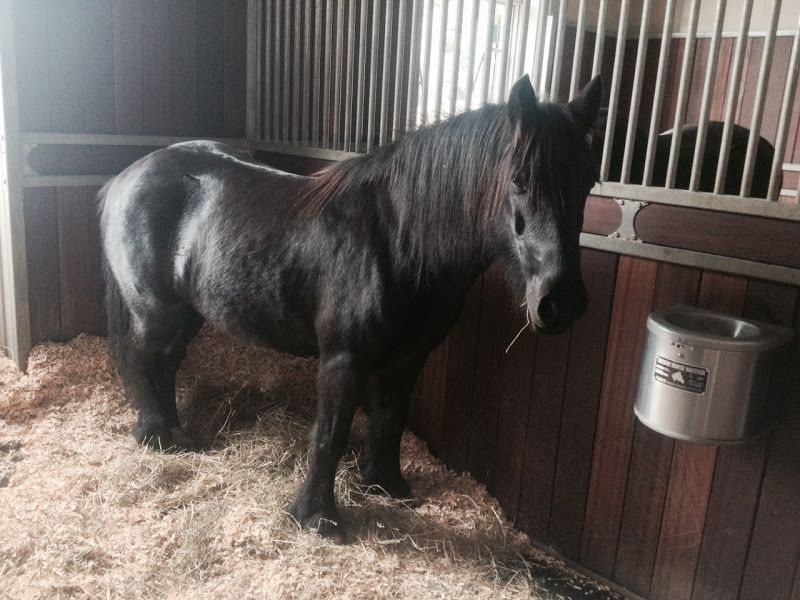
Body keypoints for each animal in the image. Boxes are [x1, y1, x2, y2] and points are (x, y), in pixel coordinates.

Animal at [99, 74, 602, 539]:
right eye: (519, 179)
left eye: (587, 181)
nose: (561, 303)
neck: (398, 241)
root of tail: (125, 178)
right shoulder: (345, 358)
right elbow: (331, 434)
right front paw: (317, 517)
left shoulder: (408, 357)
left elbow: (390, 420)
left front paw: (386, 487)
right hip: (154, 311)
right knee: (144, 362)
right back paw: (157, 438)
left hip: (185, 314)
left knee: (164, 364)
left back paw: (174, 434)